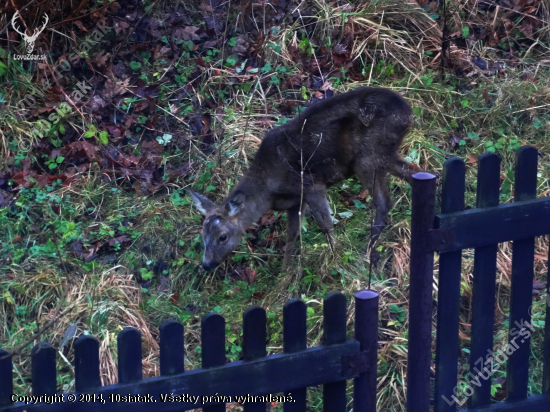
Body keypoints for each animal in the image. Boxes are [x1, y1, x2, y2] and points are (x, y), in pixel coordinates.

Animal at [188, 87, 420, 270]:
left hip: (368, 156)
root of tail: (408, 112)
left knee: (383, 201)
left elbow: (326, 225)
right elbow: (292, 236)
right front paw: (285, 274)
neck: (269, 190)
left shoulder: (311, 185)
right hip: (382, 155)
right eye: (202, 235)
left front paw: (335, 257)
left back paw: (368, 250)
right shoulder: (294, 202)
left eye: (223, 236)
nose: (206, 264)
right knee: (413, 172)